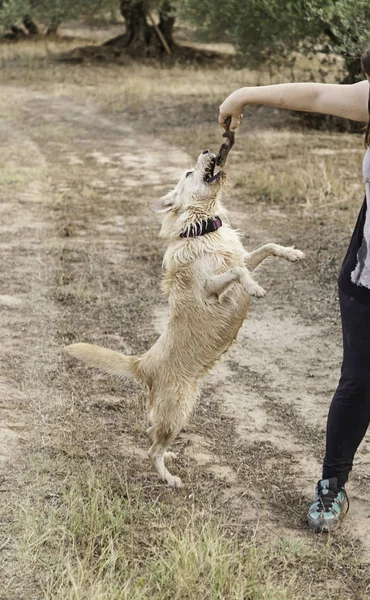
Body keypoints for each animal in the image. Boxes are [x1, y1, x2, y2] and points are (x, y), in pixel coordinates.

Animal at [68, 149, 304, 488]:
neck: (203, 227)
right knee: (152, 449)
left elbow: (262, 250)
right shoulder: (210, 288)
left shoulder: (242, 255)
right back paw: (170, 478)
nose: (207, 151)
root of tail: (142, 364)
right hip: (179, 409)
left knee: (152, 433)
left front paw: (292, 253)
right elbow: (238, 271)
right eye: (189, 173)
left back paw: (170, 456)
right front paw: (254, 287)